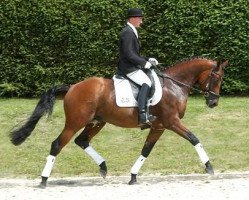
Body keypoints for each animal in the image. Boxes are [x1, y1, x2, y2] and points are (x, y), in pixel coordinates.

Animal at [9, 57, 228, 188]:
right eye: (216, 77)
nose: (214, 102)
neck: (174, 85)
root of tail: (72, 87)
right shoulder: (171, 122)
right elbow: (194, 138)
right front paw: (209, 167)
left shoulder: (159, 126)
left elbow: (146, 150)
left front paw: (133, 176)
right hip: (75, 122)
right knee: (57, 144)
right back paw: (44, 180)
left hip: (97, 122)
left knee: (82, 141)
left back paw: (103, 167)